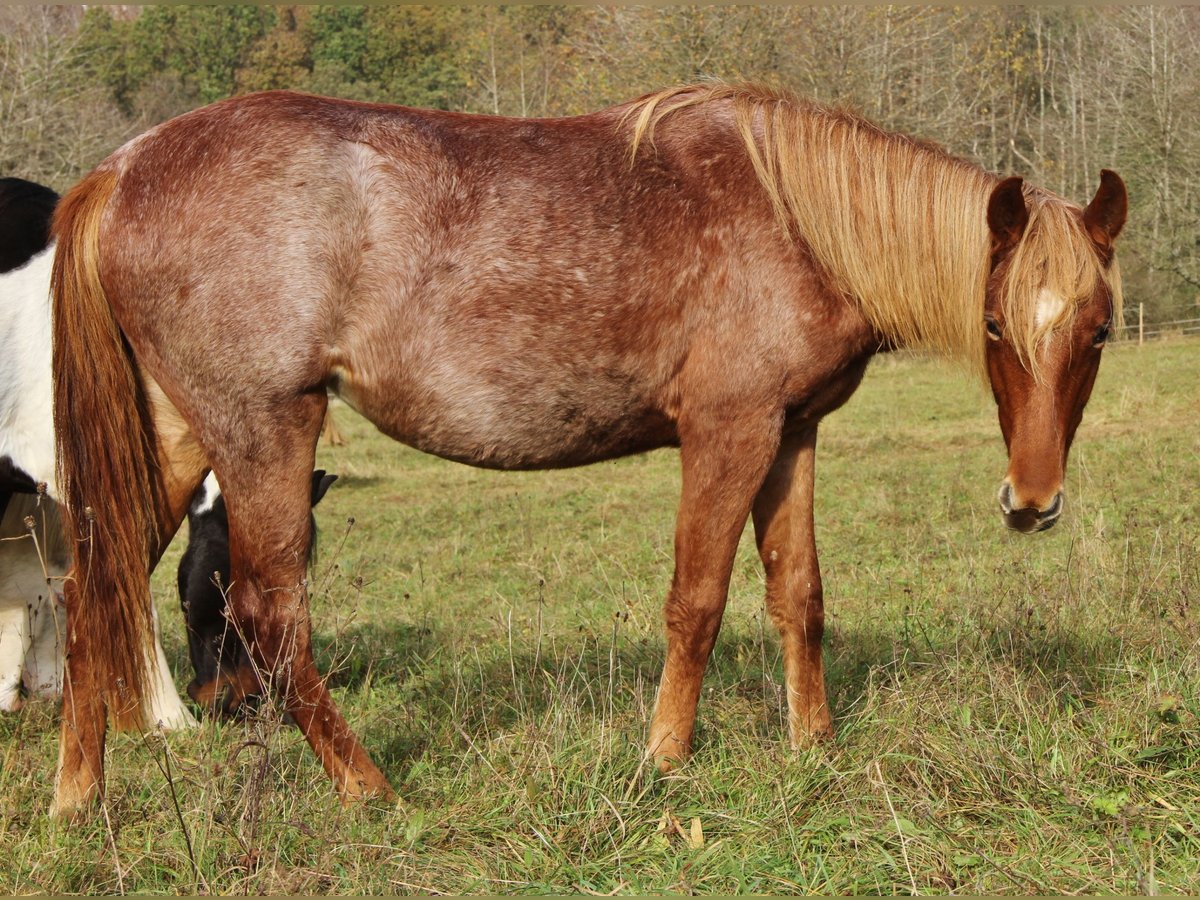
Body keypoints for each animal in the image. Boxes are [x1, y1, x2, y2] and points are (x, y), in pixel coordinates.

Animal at [49, 82, 1123, 816]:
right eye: (996, 325)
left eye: (1100, 329)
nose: (1032, 502)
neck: (791, 219)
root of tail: (124, 167)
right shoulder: (729, 431)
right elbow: (697, 600)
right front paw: (665, 758)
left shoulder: (792, 433)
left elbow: (799, 592)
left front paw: (812, 744)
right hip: (263, 432)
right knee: (269, 613)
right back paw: (368, 786)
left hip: (175, 438)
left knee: (93, 581)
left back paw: (79, 796)